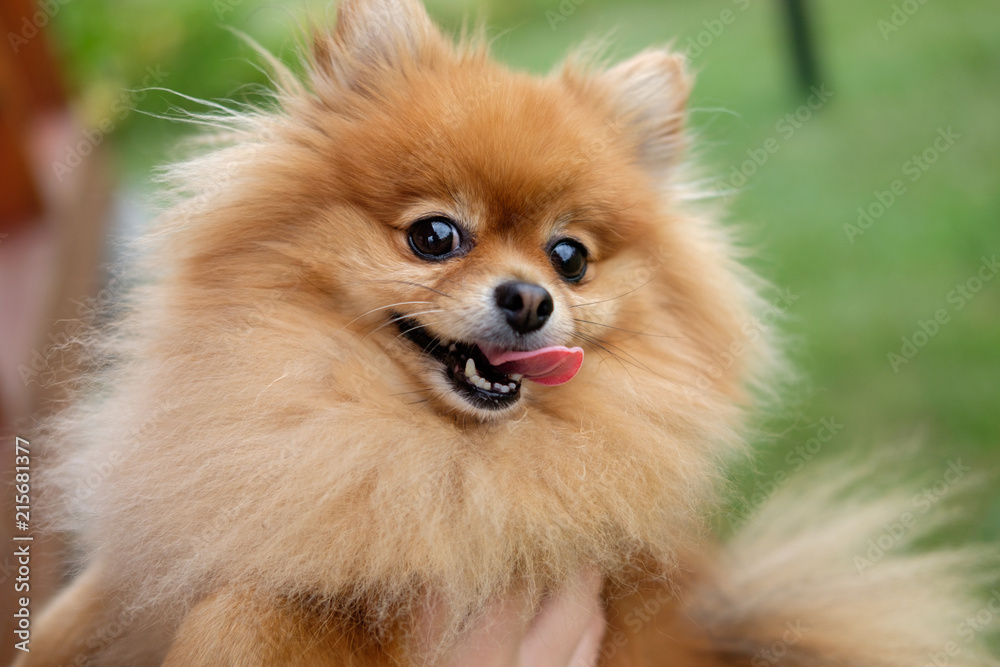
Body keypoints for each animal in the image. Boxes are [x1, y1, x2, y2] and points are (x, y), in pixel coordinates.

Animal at [19, 0, 996, 664]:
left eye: (570, 257)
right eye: (434, 236)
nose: (530, 298)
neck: (406, 439)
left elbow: (252, 612)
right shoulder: (185, 526)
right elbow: (92, 603)